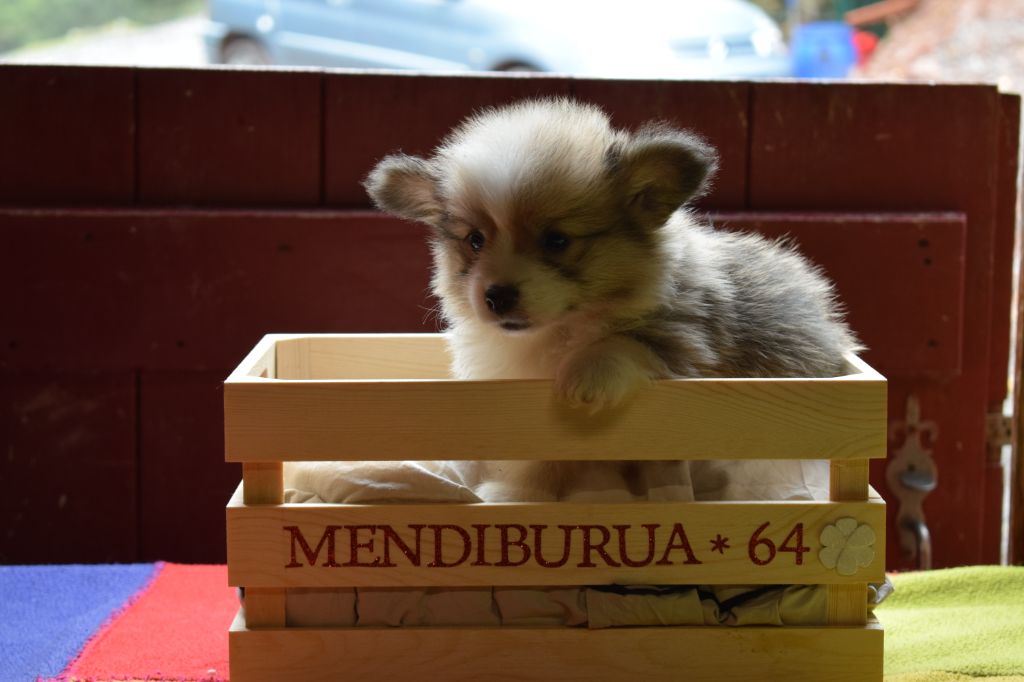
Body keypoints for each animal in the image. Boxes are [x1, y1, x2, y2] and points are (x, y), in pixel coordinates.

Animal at [365, 98, 860, 501]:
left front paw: (514, 491)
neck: (556, 334)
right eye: (475, 240)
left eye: (557, 240)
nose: (497, 296)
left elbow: (625, 346)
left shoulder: (686, 339)